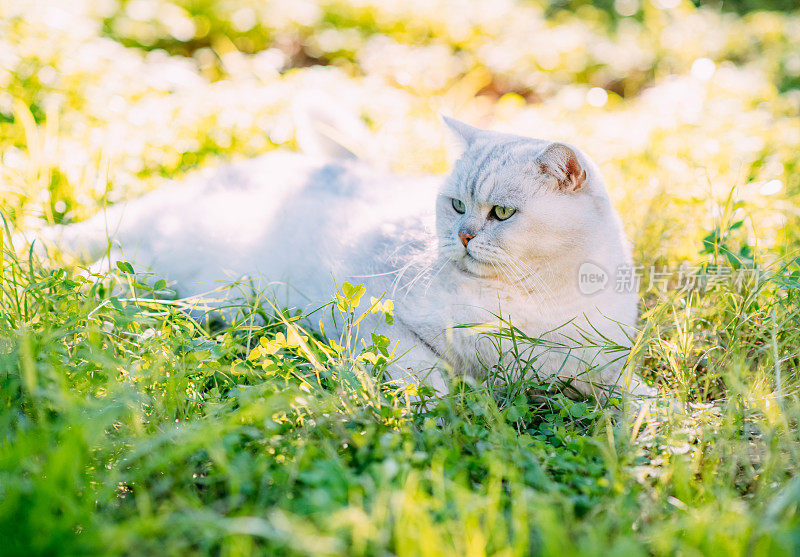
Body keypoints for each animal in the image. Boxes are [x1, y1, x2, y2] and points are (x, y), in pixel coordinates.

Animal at [32, 117, 656, 400]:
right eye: (456, 205)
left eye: (501, 213)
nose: (462, 236)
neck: (533, 297)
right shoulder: (379, 318)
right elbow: (429, 374)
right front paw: (448, 407)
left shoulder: (597, 365)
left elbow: (635, 395)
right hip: (156, 254)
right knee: (89, 259)